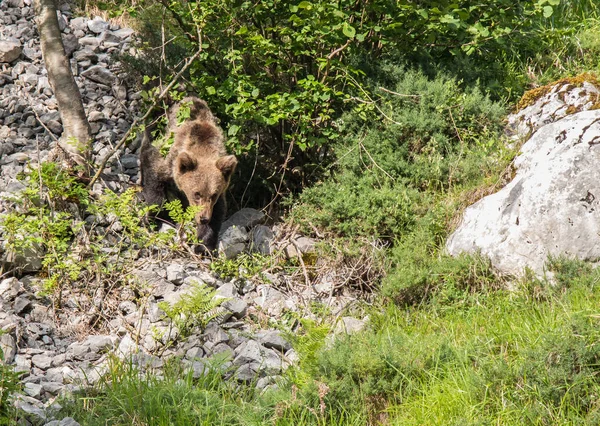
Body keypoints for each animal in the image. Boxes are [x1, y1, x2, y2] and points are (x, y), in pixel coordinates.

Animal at [140, 96, 237, 253]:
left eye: (213, 195)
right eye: (196, 193)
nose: (204, 218)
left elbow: (218, 212)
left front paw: (204, 245)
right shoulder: (167, 160)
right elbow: (154, 181)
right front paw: (155, 218)